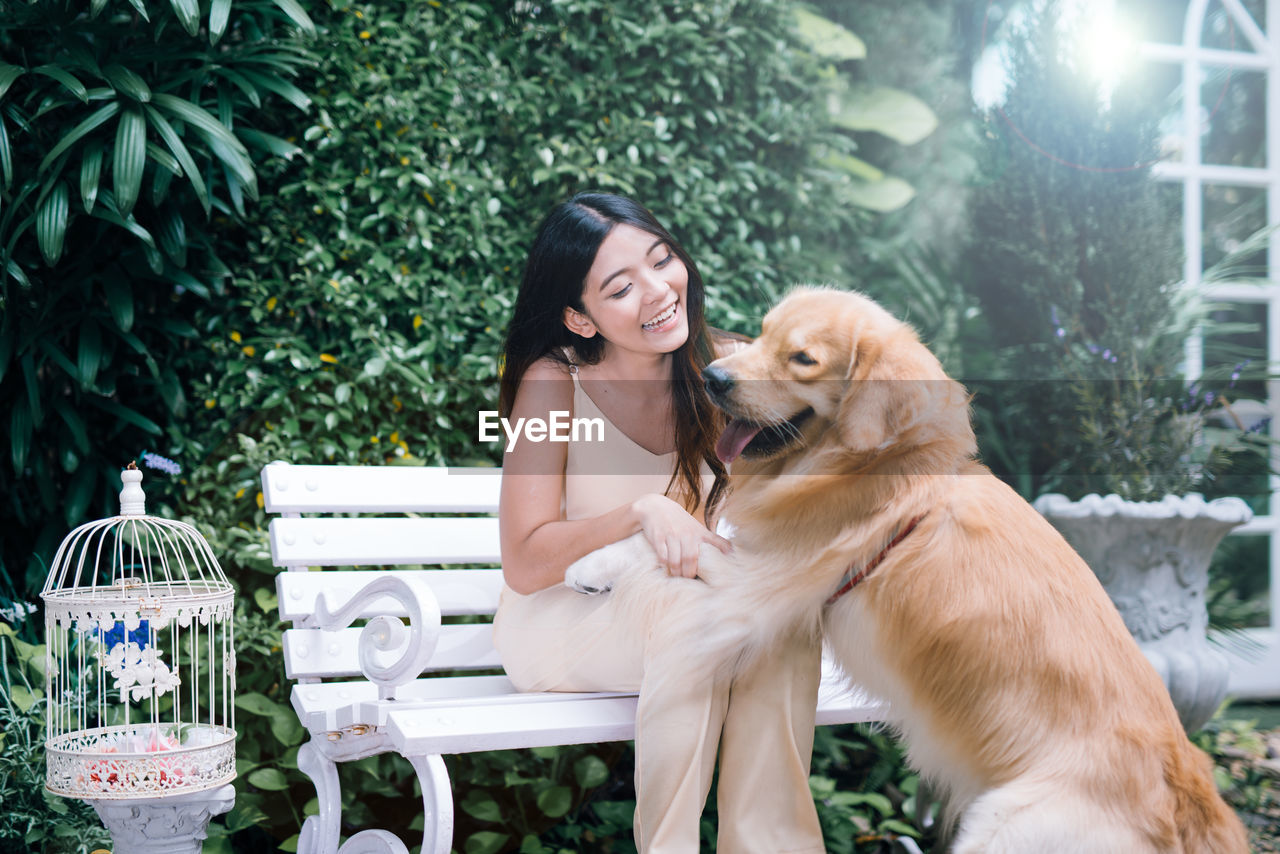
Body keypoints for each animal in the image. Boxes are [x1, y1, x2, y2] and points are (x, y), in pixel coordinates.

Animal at [565, 289, 1244, 854]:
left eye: (802, 358)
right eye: (760, 334)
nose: (713, 378)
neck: (868, 464)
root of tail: (1187, 786)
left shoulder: (762, 585)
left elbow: (671, 539)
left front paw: (593, 562)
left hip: (1003, 831)